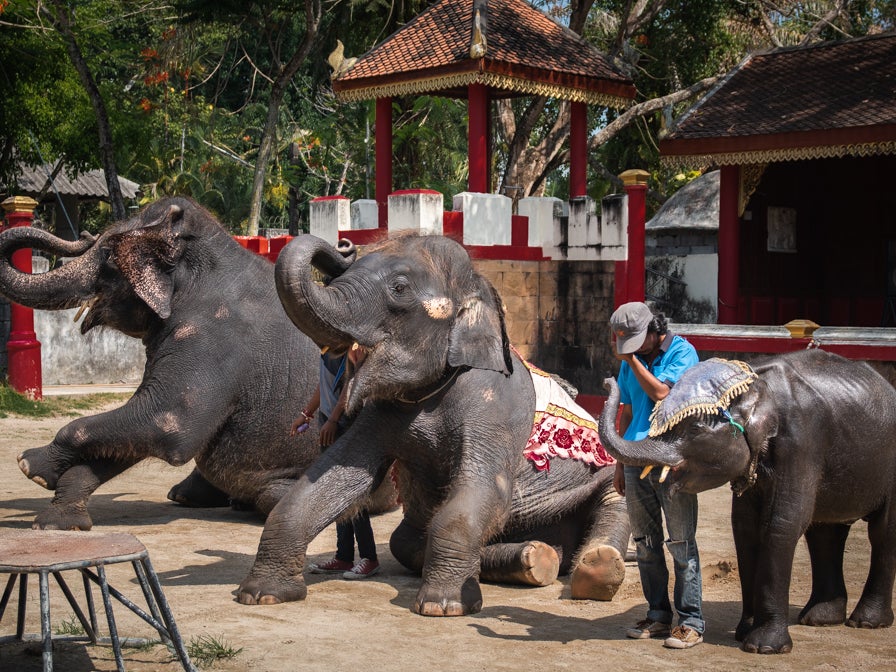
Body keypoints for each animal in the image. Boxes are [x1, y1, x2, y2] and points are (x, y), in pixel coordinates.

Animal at [0, 197, 395, 530]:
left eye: (110, 254)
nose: (82, 235)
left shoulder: (213, 340)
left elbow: (167, 421)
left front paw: (29, 465)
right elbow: (140, 429)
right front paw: (57, 522)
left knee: (272, 496)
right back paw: (194, 496)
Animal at [236, 232, 631, 615]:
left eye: (399, 288)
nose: (344, 245)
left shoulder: (494, 407)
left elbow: (485, 488)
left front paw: (443, 606)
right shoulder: (381, 413)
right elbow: (336, 476)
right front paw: (261, 595)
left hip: (601, 479)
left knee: (615, 501)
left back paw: (596, 568)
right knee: (405, 540)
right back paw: (534, 558)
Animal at [597, 350, 896, 654]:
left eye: (694, 429)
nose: (607, 380)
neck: (756, 389)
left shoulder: (802, 444)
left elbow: (781, 526)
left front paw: (763, 647)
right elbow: (744, 528)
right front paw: (743, 634)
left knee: (882, 534)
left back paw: (865, 622)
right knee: (825, 532)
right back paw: (819, 619)